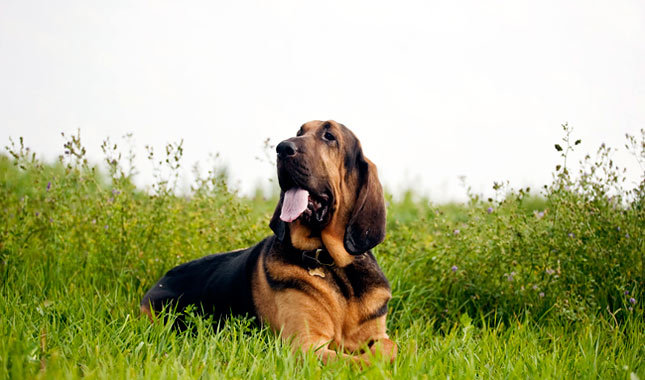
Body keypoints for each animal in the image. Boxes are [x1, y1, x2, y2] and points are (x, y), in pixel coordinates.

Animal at [140, 120, 398, 364]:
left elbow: (391, 346)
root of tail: (159, 282)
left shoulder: (376, 333)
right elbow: (354, 361)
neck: (331, 262)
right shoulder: (305, 345)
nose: (282, 148)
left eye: (329, 136)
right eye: (299, 131)